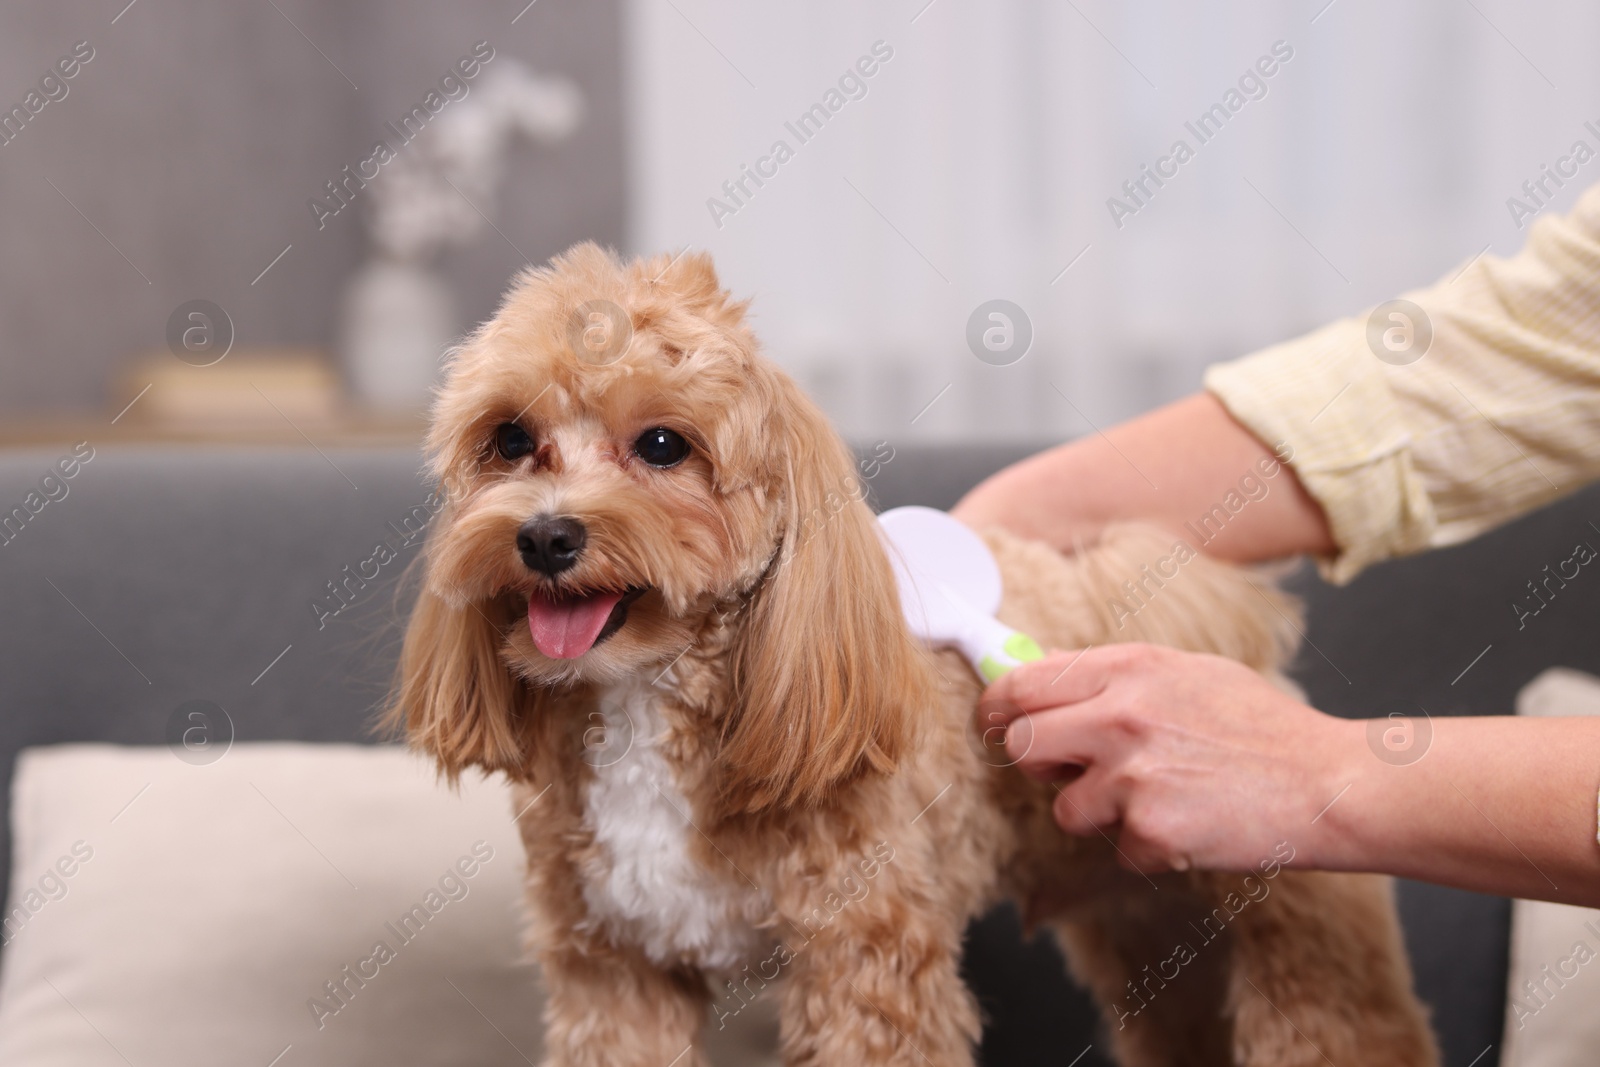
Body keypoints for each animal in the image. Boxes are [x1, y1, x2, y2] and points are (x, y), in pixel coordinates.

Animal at [390, 244, 1440, 1067]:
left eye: (661, 444)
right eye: (510, 439)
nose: (545, 536)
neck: (652, 702)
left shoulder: (866, 962)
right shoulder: (614, 971)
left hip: (1305, 936)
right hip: (1148, 933)